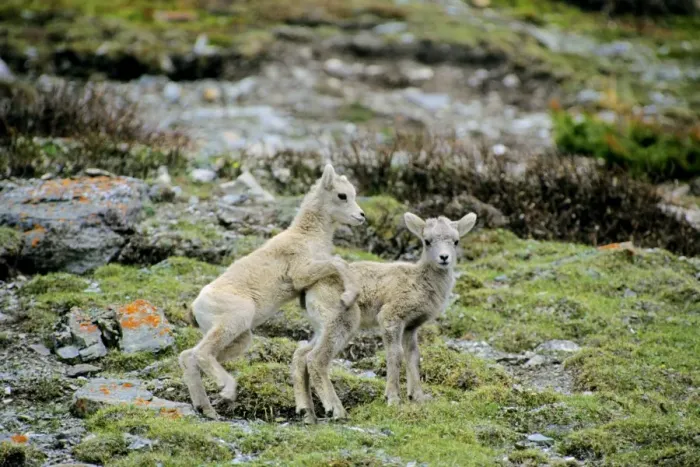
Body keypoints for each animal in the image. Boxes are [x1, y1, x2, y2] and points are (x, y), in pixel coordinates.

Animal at [179, 164, 366, 419]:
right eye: (342, 195)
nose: (361, 216)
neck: (308, 236)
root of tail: (195, 307)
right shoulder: (301, 273)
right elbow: (339, 263)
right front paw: (349, 295)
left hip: (239, 338)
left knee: (188, 356)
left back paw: (207, 410)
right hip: (234, 321)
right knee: (200, 354)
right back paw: (228, 390)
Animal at [292, 212, 477, 423]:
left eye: (456, 241)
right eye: (427, 241)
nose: (444, 257)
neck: (420, 281)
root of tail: (308, 289)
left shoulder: (411, 327)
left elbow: (413, 356)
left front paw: (418, 397)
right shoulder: (391, 316)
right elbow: (395, 354)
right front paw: (393, 398)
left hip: (322, 325)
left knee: (300, 355)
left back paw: (306, 412)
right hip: (341, 320)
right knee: (315, 359)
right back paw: (336, 410)